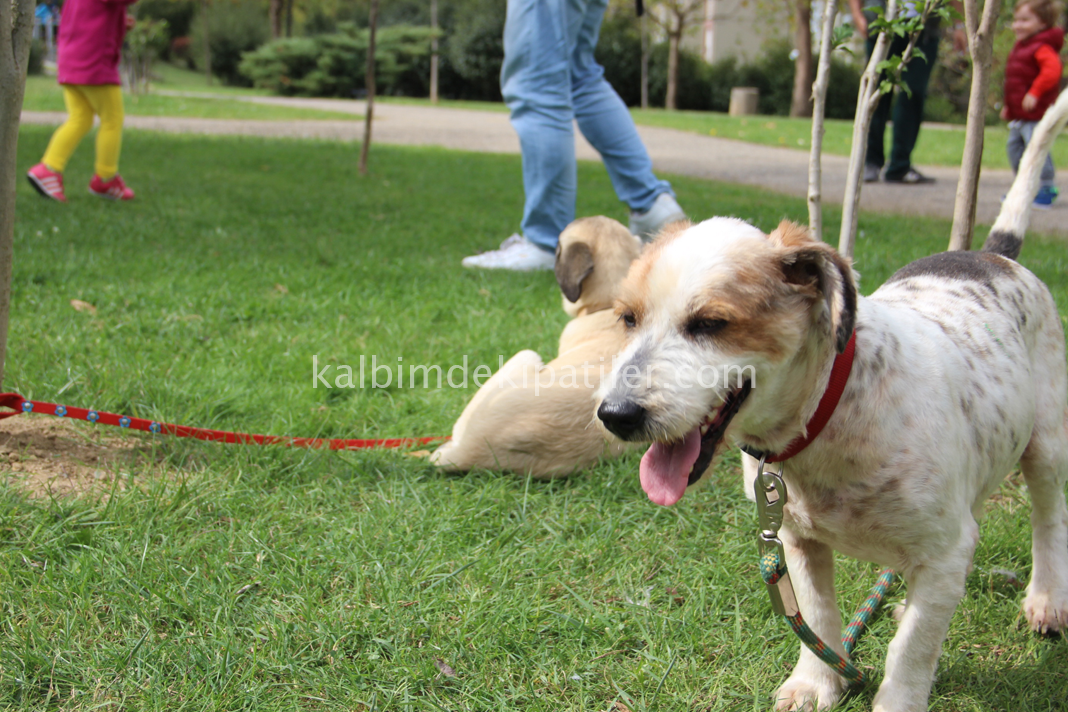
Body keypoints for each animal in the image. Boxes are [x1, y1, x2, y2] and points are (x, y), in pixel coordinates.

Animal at [595, 95, 1068, 711]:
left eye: (711, 324)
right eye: (627, 318)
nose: (615, 415)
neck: (827, 417)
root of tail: (993, 255)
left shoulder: (944, 552)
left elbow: (911, 651)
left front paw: (893, 698)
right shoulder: (794, 538)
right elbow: (817, 616)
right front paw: (817, 682)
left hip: (1047, 443)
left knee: (1049, 517)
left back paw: (1047, 598)